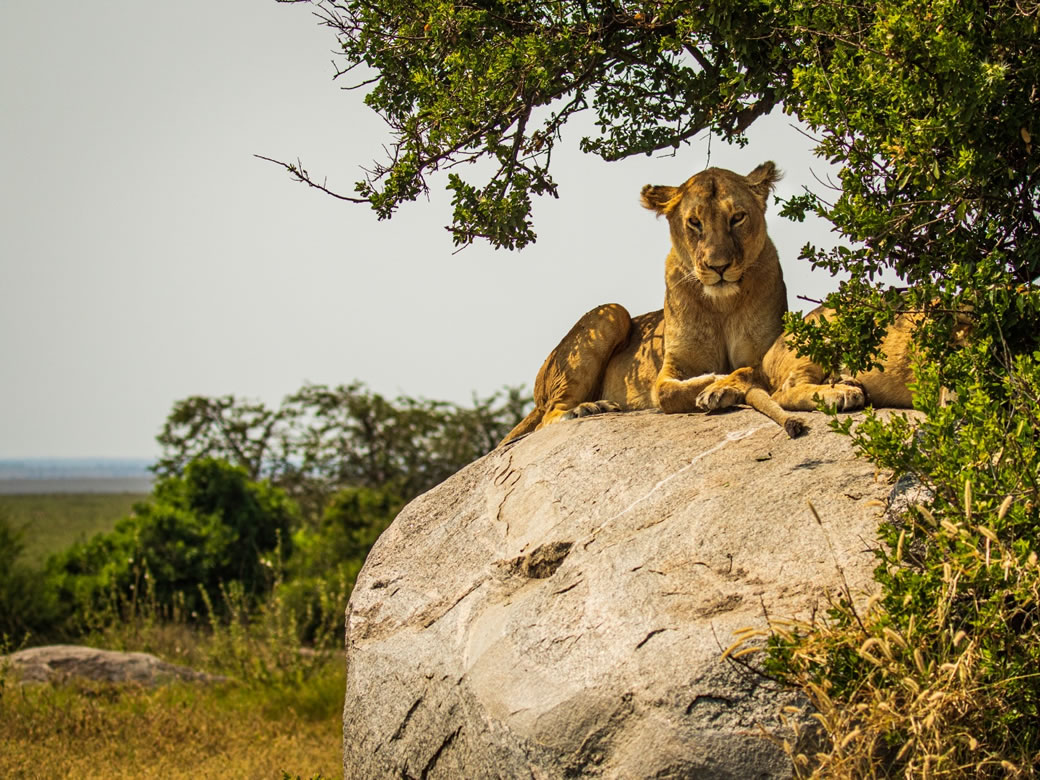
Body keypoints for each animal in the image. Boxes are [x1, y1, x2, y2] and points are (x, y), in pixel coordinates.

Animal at [501, 162, 786, 445]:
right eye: (695, 222)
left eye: (737, 217)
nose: (719, 267)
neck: (721, 305)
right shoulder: (671, 368)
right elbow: (667, 394)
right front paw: (715, 380)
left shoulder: (767, 352)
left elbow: (749, 369)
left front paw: (723, 387)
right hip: (612, 312)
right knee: (547, 417)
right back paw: (587, 408)